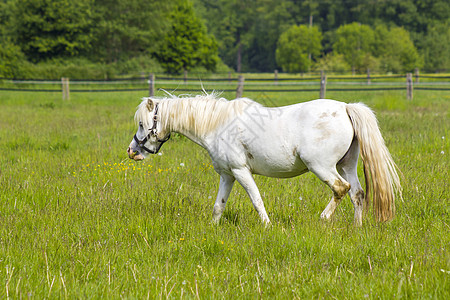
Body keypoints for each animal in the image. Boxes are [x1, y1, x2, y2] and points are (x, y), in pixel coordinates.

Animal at [126, 94, 400, 225]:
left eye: (141, 123)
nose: (132, 151)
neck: (218, 124)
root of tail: (345, 107)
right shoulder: (227, 175)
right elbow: (218, 206)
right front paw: (212, 229)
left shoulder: (240, 171)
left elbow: (256, 200)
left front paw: (267, 226)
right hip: (346, 165)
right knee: (357, 194)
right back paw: (357, 227)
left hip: (322, 167)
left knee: (340, 189)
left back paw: (322, 219)